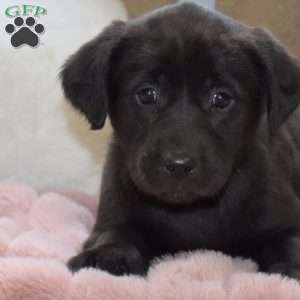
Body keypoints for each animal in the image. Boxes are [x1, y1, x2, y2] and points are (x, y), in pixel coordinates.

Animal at [59, 1, 300, 278]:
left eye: (221, 98)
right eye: (147, 94)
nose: (179, 165)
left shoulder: (285, 220)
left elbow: (288, 246)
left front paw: (289, 268)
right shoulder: (113, 212)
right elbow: (115, 235)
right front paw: (107, 257)